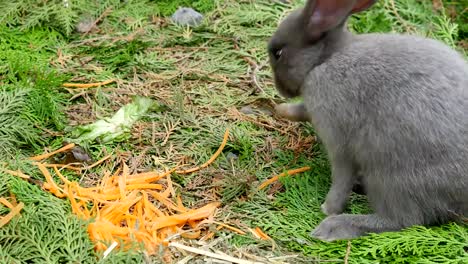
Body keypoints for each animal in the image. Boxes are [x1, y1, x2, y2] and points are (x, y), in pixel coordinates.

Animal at [266, 0, 468, 241]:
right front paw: (280, 109)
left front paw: (328, 208)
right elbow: (301, 110)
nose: (281, 90)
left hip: (390, 178)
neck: (326, 59)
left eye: (278, 53)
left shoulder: (337, 141)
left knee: (403, 221)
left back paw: (333, 226)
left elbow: (341, 178)